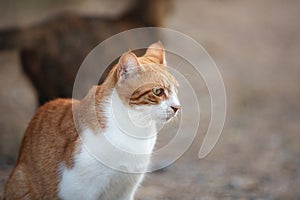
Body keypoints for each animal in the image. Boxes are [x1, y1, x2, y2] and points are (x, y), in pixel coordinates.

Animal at [3, 41, 180, 199]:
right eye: (158, 91)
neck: (136, 129)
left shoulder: (125, 190)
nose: (177, 107)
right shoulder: (80, 189)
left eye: (175, 91)